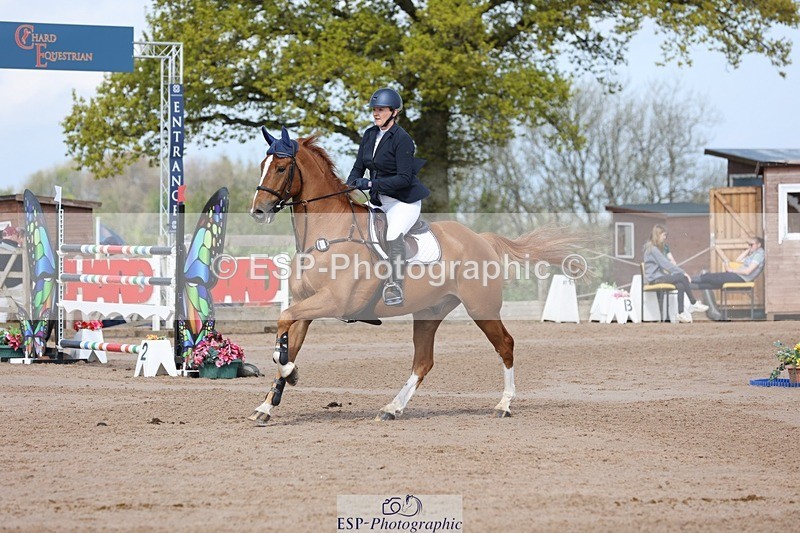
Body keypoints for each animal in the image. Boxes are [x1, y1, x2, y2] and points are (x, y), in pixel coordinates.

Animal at [248, 127, 582, 425]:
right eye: (262, 166)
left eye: (281, 167)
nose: (258, 211)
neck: (325, 236)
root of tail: (480, 238)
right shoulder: (305, 306)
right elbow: (286, 340)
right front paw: (268, 403)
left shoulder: (334, 301)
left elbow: (283, 325)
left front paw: (290, 375)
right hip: (429, 312)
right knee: (423, 362)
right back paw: (391, 408)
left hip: (481, 308)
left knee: (506, 345)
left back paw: (504, 405)